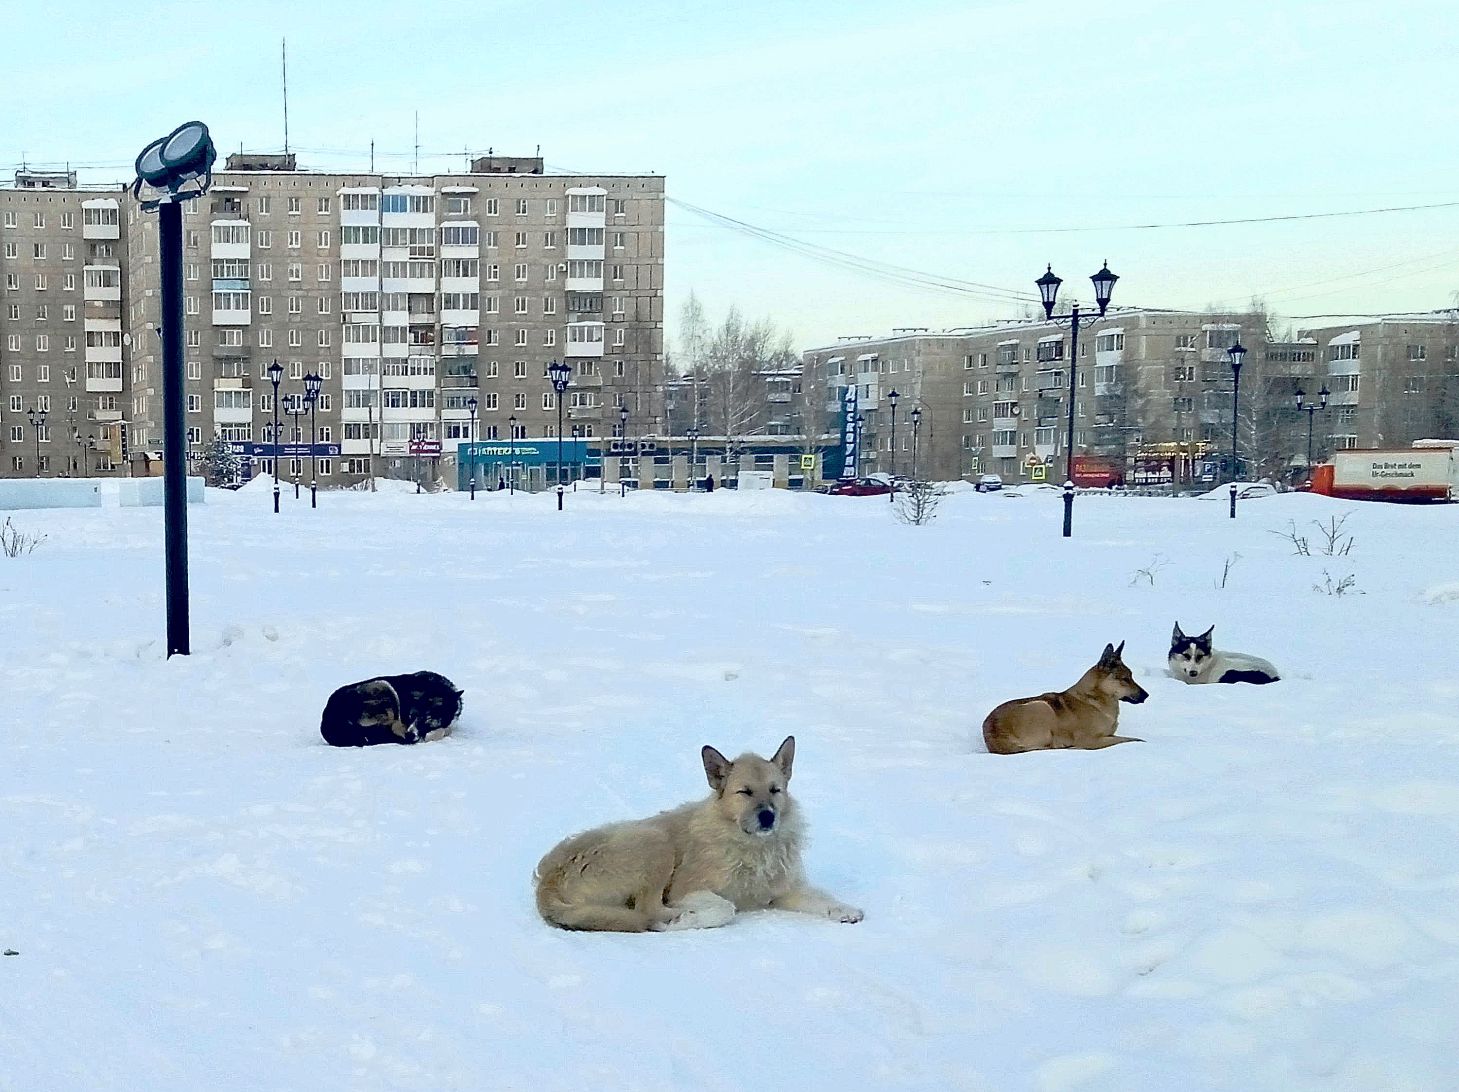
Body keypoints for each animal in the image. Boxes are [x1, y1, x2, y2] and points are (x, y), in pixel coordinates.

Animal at [533, 732, 863, 928]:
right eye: (745, 792)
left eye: (775, 790)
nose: (768, 817)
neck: (750, 846)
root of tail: (547, 882)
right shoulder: (685, 889)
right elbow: (726, 907)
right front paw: (691, 917)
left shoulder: (784, 891)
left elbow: (821, 899)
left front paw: (843, 909)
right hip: (655, 842)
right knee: (648, 911)